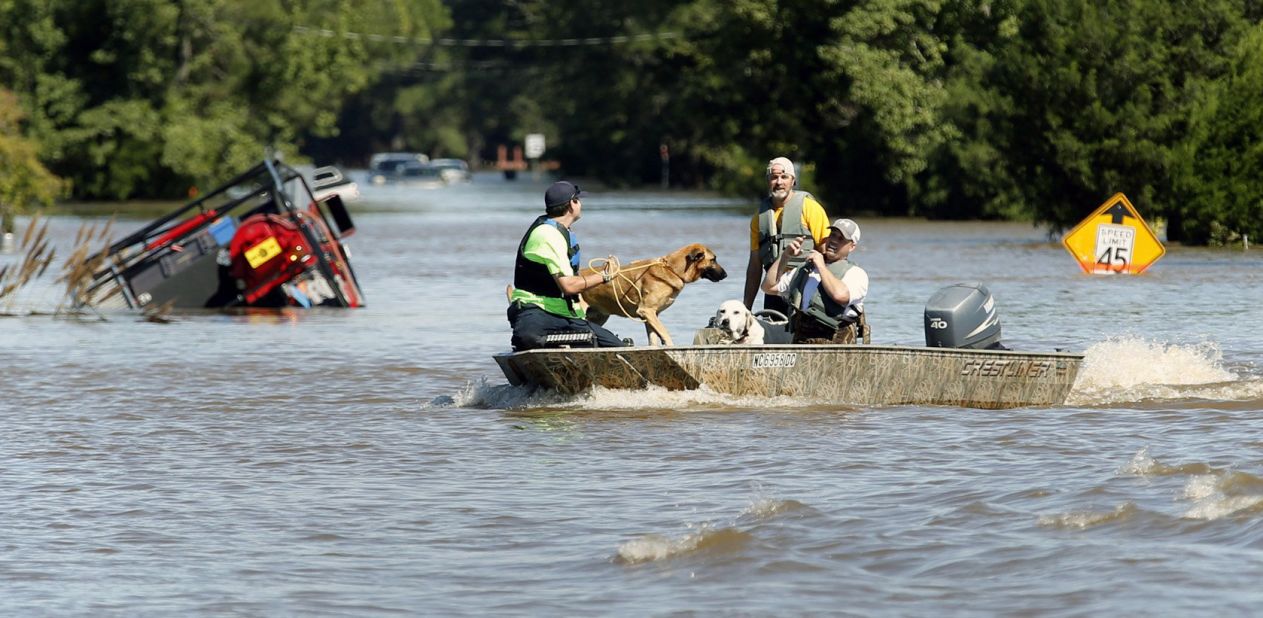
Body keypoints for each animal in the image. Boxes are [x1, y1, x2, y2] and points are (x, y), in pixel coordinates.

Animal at [578, 242, 727, 346]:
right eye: (713, 259)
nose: (725, 275)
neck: (672, 270)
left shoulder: (652, 316)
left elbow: (653, 339)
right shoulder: (647, 311)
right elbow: (665, 333)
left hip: (599, 318)